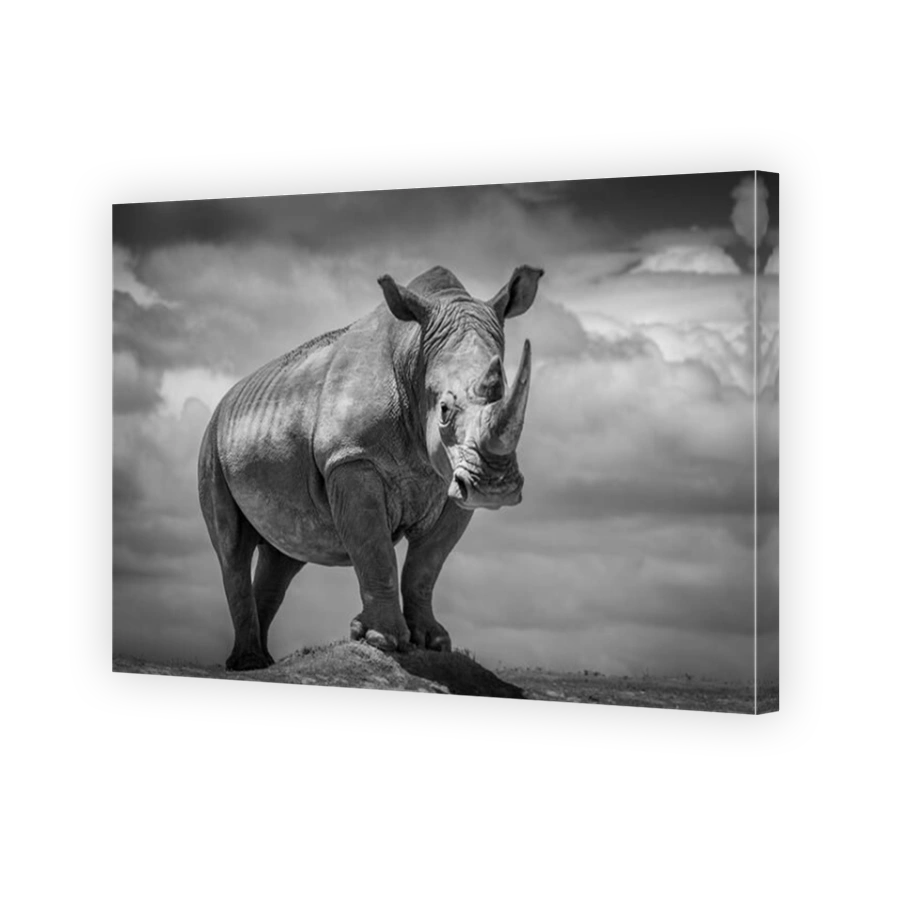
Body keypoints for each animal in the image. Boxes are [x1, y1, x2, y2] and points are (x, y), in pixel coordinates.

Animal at [198, 264, 543, 670]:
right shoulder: (351, 458)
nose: (493, 488)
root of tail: (226, 399)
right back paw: (248, 663)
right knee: (231, 548)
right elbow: (374, 549)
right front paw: (382, 640)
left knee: (284, 553)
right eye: (444, 410)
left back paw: (262, 663)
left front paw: (433, 643)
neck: (414, 352)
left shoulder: (452, 482)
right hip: (212, 443)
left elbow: (427, 564)